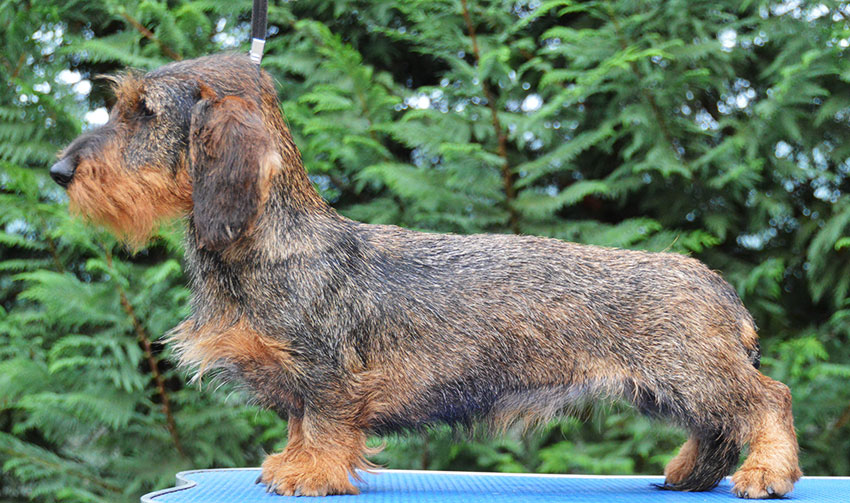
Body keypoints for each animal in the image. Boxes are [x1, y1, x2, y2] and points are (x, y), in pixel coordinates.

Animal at [49, 53, 800, 498]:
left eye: (143, 114)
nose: (58, 171)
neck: (272, 243)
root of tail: (713, 282)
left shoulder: (330, 375)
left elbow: (322, 424)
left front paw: (310, 473)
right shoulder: (296, 380)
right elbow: (296, 423)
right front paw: (288, 463)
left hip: (693, 373)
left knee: (769, 399)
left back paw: (767, 471)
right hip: (668, 388)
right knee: (716, 428)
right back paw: (689, 473)